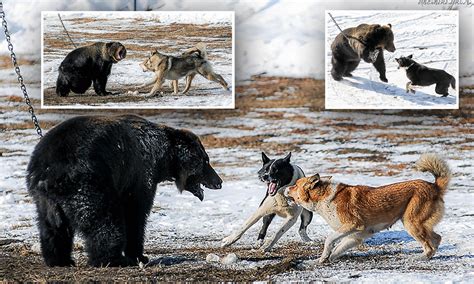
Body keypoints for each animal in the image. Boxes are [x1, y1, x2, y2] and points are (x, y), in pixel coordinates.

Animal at [286, 154, 450, 262]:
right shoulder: (355, 236)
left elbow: (329, 240)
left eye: (295, 185)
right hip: (417, 224)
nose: (286, 188)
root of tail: (434, 186)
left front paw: (324, 256)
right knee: (436, 239)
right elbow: (337, 249)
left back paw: (419, 258)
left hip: (411, 223)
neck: (324, 198)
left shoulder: (352, 225)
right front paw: (324, 259)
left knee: (430, 244)